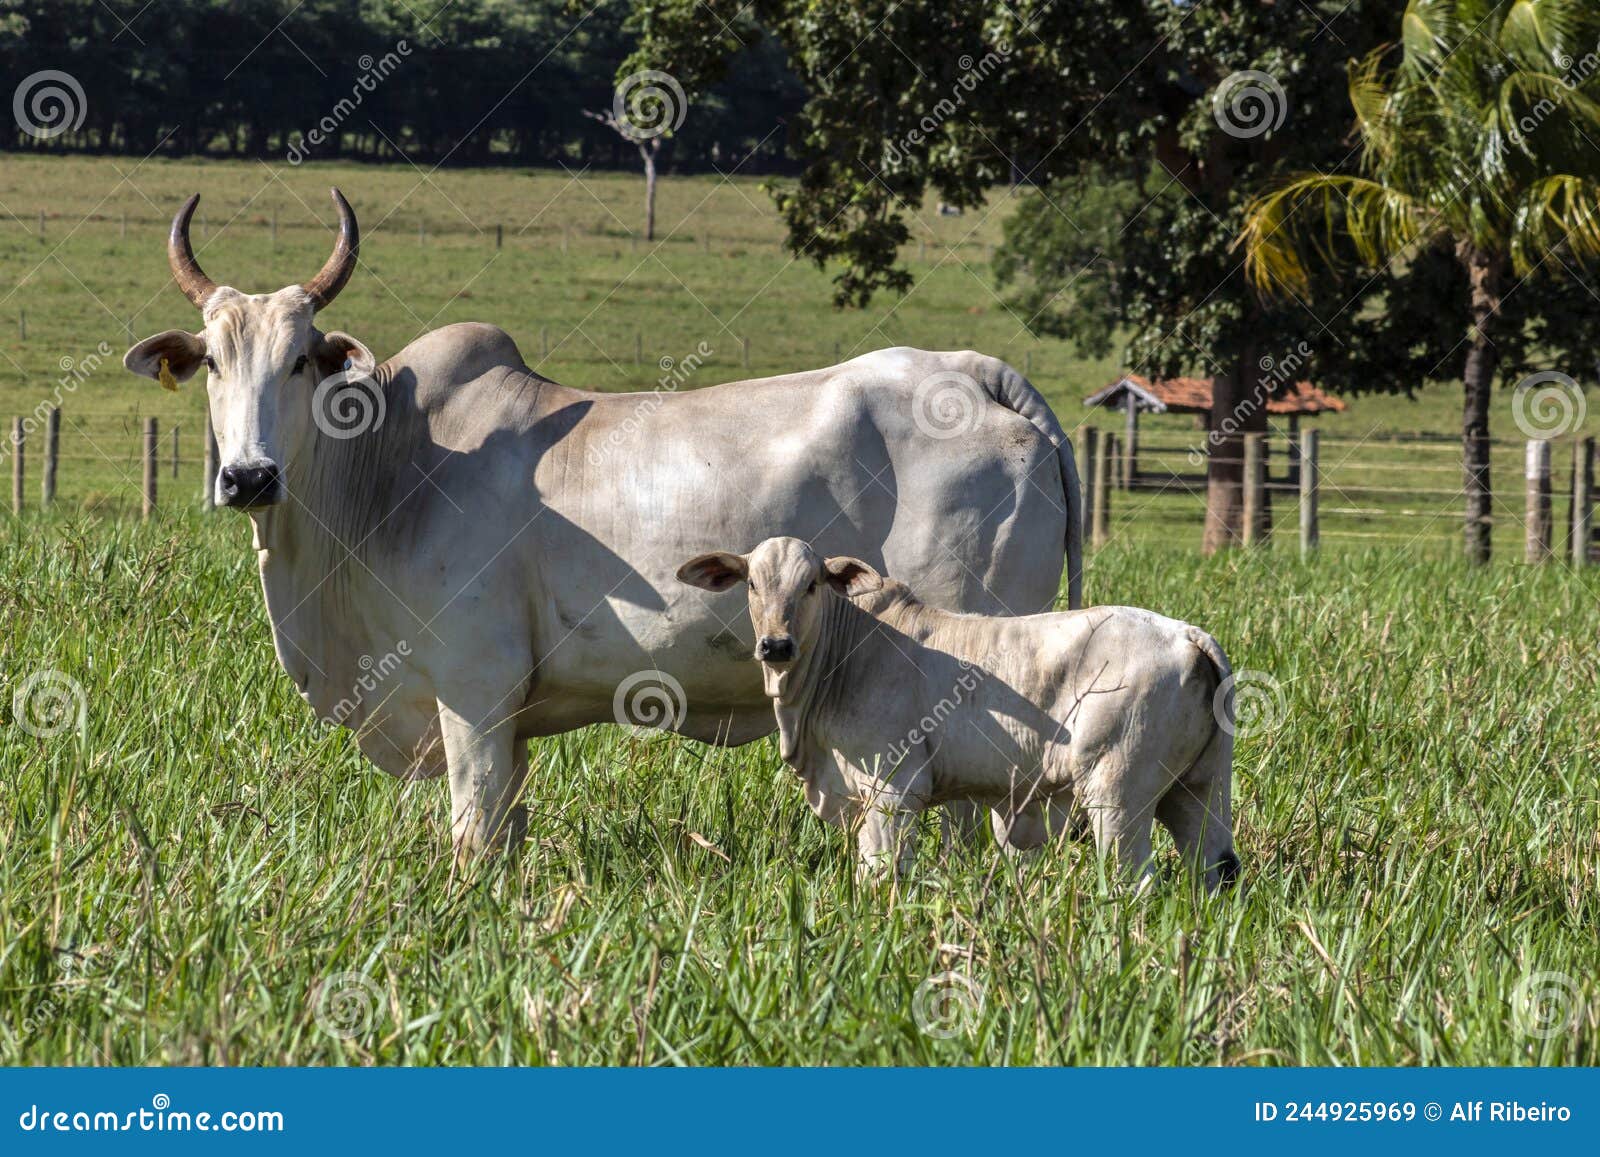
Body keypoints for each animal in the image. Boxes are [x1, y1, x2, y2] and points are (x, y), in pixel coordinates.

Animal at [118, 190, 1081, 857]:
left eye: (299, 362)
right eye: (213, 363)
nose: (248, 476)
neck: (386, 467)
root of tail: (976, 372)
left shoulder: (473, 692)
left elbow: (473, 836)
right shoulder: (508, 722)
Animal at [675, 537, 1235, 889]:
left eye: (811, 584)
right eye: (752, 585)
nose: (776, 645)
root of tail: (1186, 633)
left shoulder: (892, 788)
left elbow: (880, 871)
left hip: (1117, 796)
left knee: (1133, 880)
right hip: (1199, 791)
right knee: (1216, 870)